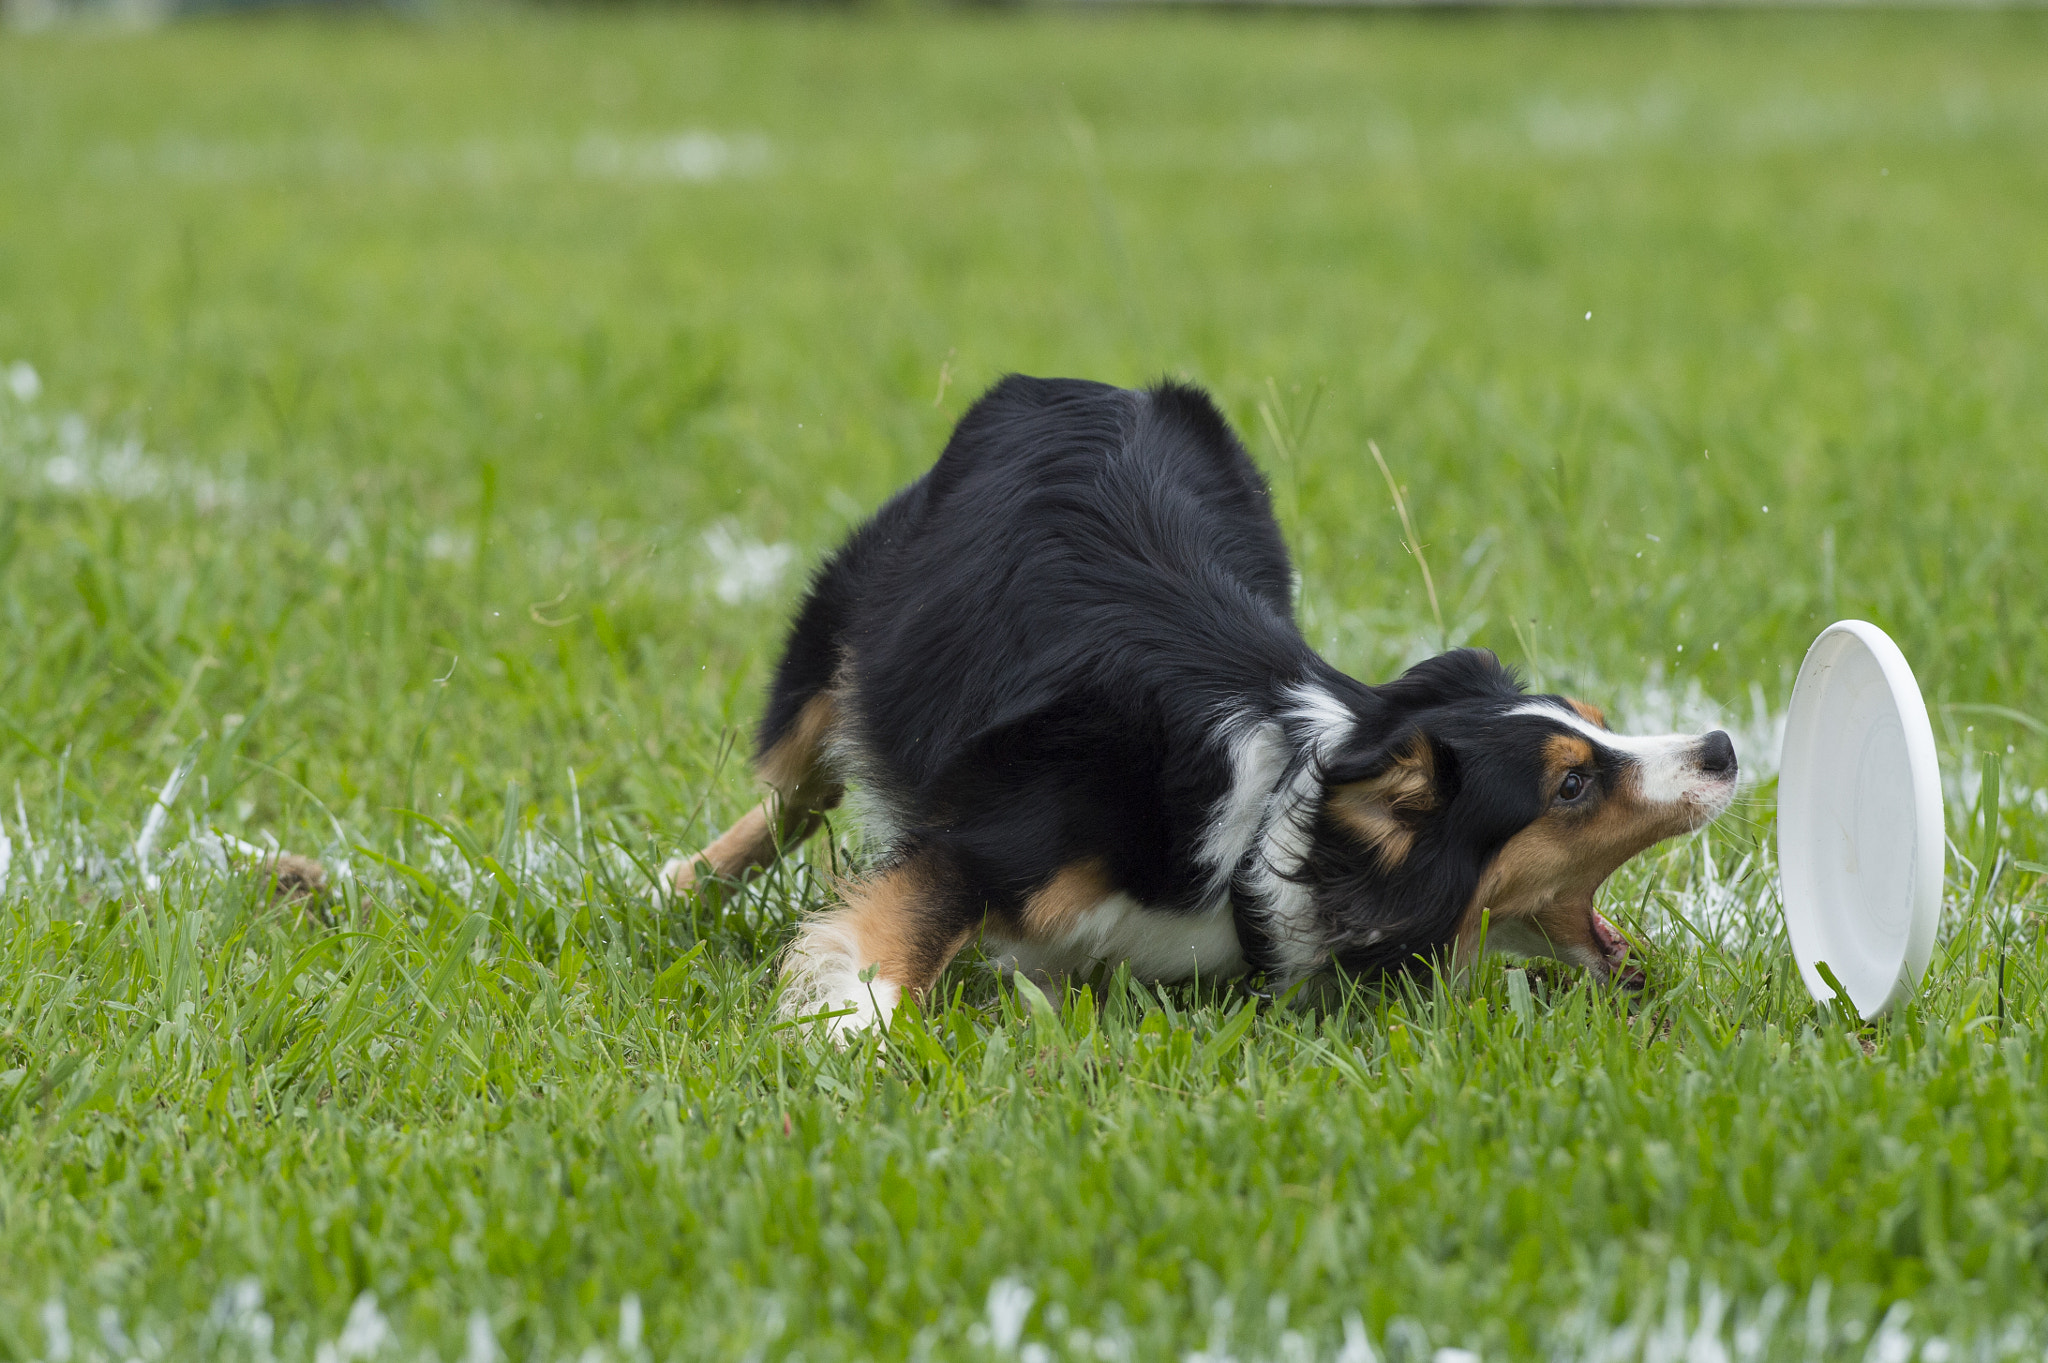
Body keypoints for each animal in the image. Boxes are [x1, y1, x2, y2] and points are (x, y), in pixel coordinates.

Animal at [663, 372, 1736, 1031]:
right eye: (1571, 787)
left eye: (1601, 725)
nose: (1724, 747)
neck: (1274, 836)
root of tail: (1086, 386)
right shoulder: (983, 841)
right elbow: (895, 944)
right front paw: (845, 1036)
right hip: (847, 631)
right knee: (799, 786)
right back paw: (684, 883)